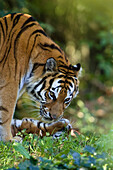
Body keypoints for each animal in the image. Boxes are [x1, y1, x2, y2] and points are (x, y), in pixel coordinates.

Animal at [0, 12, 81, 141]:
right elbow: (6, 114)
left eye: (67, 100)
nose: (54, 117)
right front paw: (9, 140)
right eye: (52, 95)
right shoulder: (9, 85)